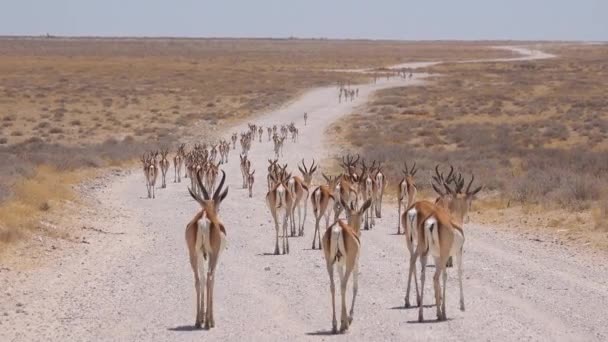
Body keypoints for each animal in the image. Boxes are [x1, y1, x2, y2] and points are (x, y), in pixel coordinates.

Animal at [185, 170, 228, 328]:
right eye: (218, 206)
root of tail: (204, 219)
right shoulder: (213, 254)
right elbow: (212, 278)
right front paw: (208, 319)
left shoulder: (200, 254)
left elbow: (202, 278)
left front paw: (203, 317)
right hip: (213, 255)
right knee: (210, 277)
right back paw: (210, 322)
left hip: (193, 254)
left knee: (198, 279)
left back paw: (198, 321)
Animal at [320, 198, 372, 334]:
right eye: (362, 219)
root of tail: (338, 227)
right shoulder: (355, 263)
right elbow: (355, 287)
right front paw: (349, 318)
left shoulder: (339, 265)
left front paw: (343, 320)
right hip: (349, 264)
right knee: (343, 286)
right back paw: (344, 324)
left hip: (329, 263)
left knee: (333, 286)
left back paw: (334, 324)